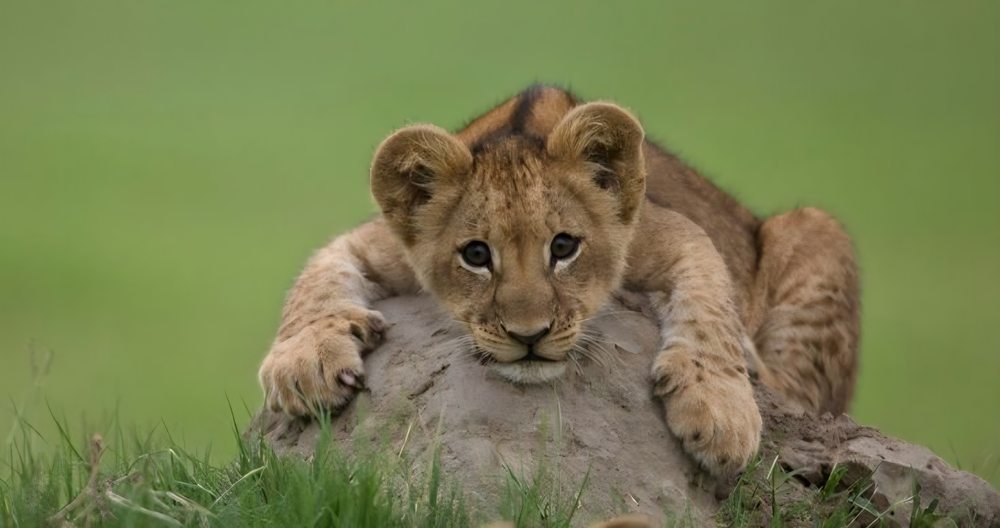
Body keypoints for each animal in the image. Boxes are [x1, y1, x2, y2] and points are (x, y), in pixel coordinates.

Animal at [258, 85, 860, 477]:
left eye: (564, 247)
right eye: (476, 255)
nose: (530, 336)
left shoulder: (673, 230)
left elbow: (711, 302)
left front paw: (720, 410)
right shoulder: (375, 242)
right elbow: (315, 279)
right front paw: (304, 365)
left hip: (817, 228)